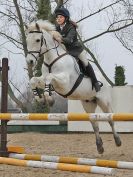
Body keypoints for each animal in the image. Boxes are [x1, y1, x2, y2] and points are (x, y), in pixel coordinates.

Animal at [25, 20, 121, 153]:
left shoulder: (65, 83)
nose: (29, 61)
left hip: (104, 101)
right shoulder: (44, 79)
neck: (52, 59)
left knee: (110, 119)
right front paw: (39, 98)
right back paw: (99, 146)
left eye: (38, 40)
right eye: (27, 40)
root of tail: (104, 81)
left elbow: (50, 77)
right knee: (94, 123)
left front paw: (49, 99)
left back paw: (117, 141)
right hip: (88, 103)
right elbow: (34, 80)